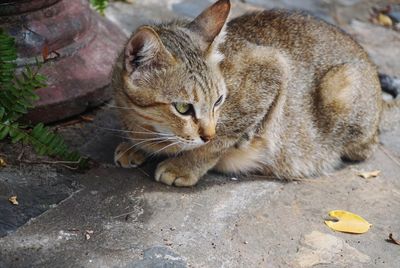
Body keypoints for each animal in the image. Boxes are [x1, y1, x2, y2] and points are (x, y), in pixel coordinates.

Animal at [111, 0, 382, 186]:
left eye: (219, 100)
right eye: (183, 108)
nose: (207, 134)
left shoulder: (273, 66)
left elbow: (221, 140)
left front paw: (184, 167)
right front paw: (135, 146)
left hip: (340, 86)